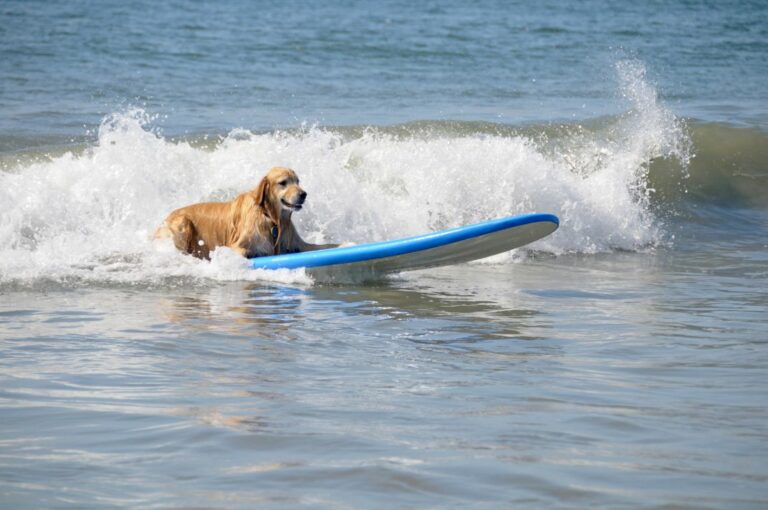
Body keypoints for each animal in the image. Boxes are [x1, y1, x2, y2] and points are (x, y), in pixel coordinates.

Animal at [154, 166, 338, 258]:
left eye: (297, 181)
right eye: (283, 182)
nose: (303, 194)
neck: (271, 218)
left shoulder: (296, 243)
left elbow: (328, 246)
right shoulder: (235, 246)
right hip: (182, 223)